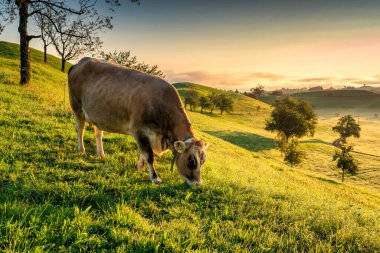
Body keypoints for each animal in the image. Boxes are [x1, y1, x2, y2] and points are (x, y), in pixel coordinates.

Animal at [69, 58, 211, 186]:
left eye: (203, 161)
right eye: (192, 161)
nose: (198, 184)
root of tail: (81, 62)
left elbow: (144, 154)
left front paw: (140, 167)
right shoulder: (139, 130)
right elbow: (149, 155)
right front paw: (155, 177)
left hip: (98, 115)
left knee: (98, 134)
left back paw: (101, 153)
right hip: (77, 107)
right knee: (80, 129)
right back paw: (81, 150)